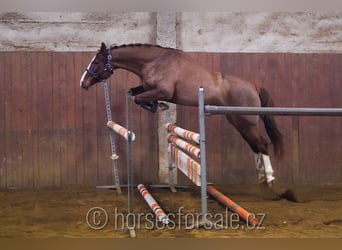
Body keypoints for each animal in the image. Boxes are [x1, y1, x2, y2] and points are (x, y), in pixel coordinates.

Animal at [80, 42, 284, 188]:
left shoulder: (163, 91)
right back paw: (261, 177)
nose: (83, 83)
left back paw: (270, 179)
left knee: (262, 144)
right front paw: (156, 105)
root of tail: (253, 86)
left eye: (96, 62)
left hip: (247, 121)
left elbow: (139, 98)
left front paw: (156, 105)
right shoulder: (147, 87)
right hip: (238, 122)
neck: (154, 62)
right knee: (254, 145)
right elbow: (133, 92)